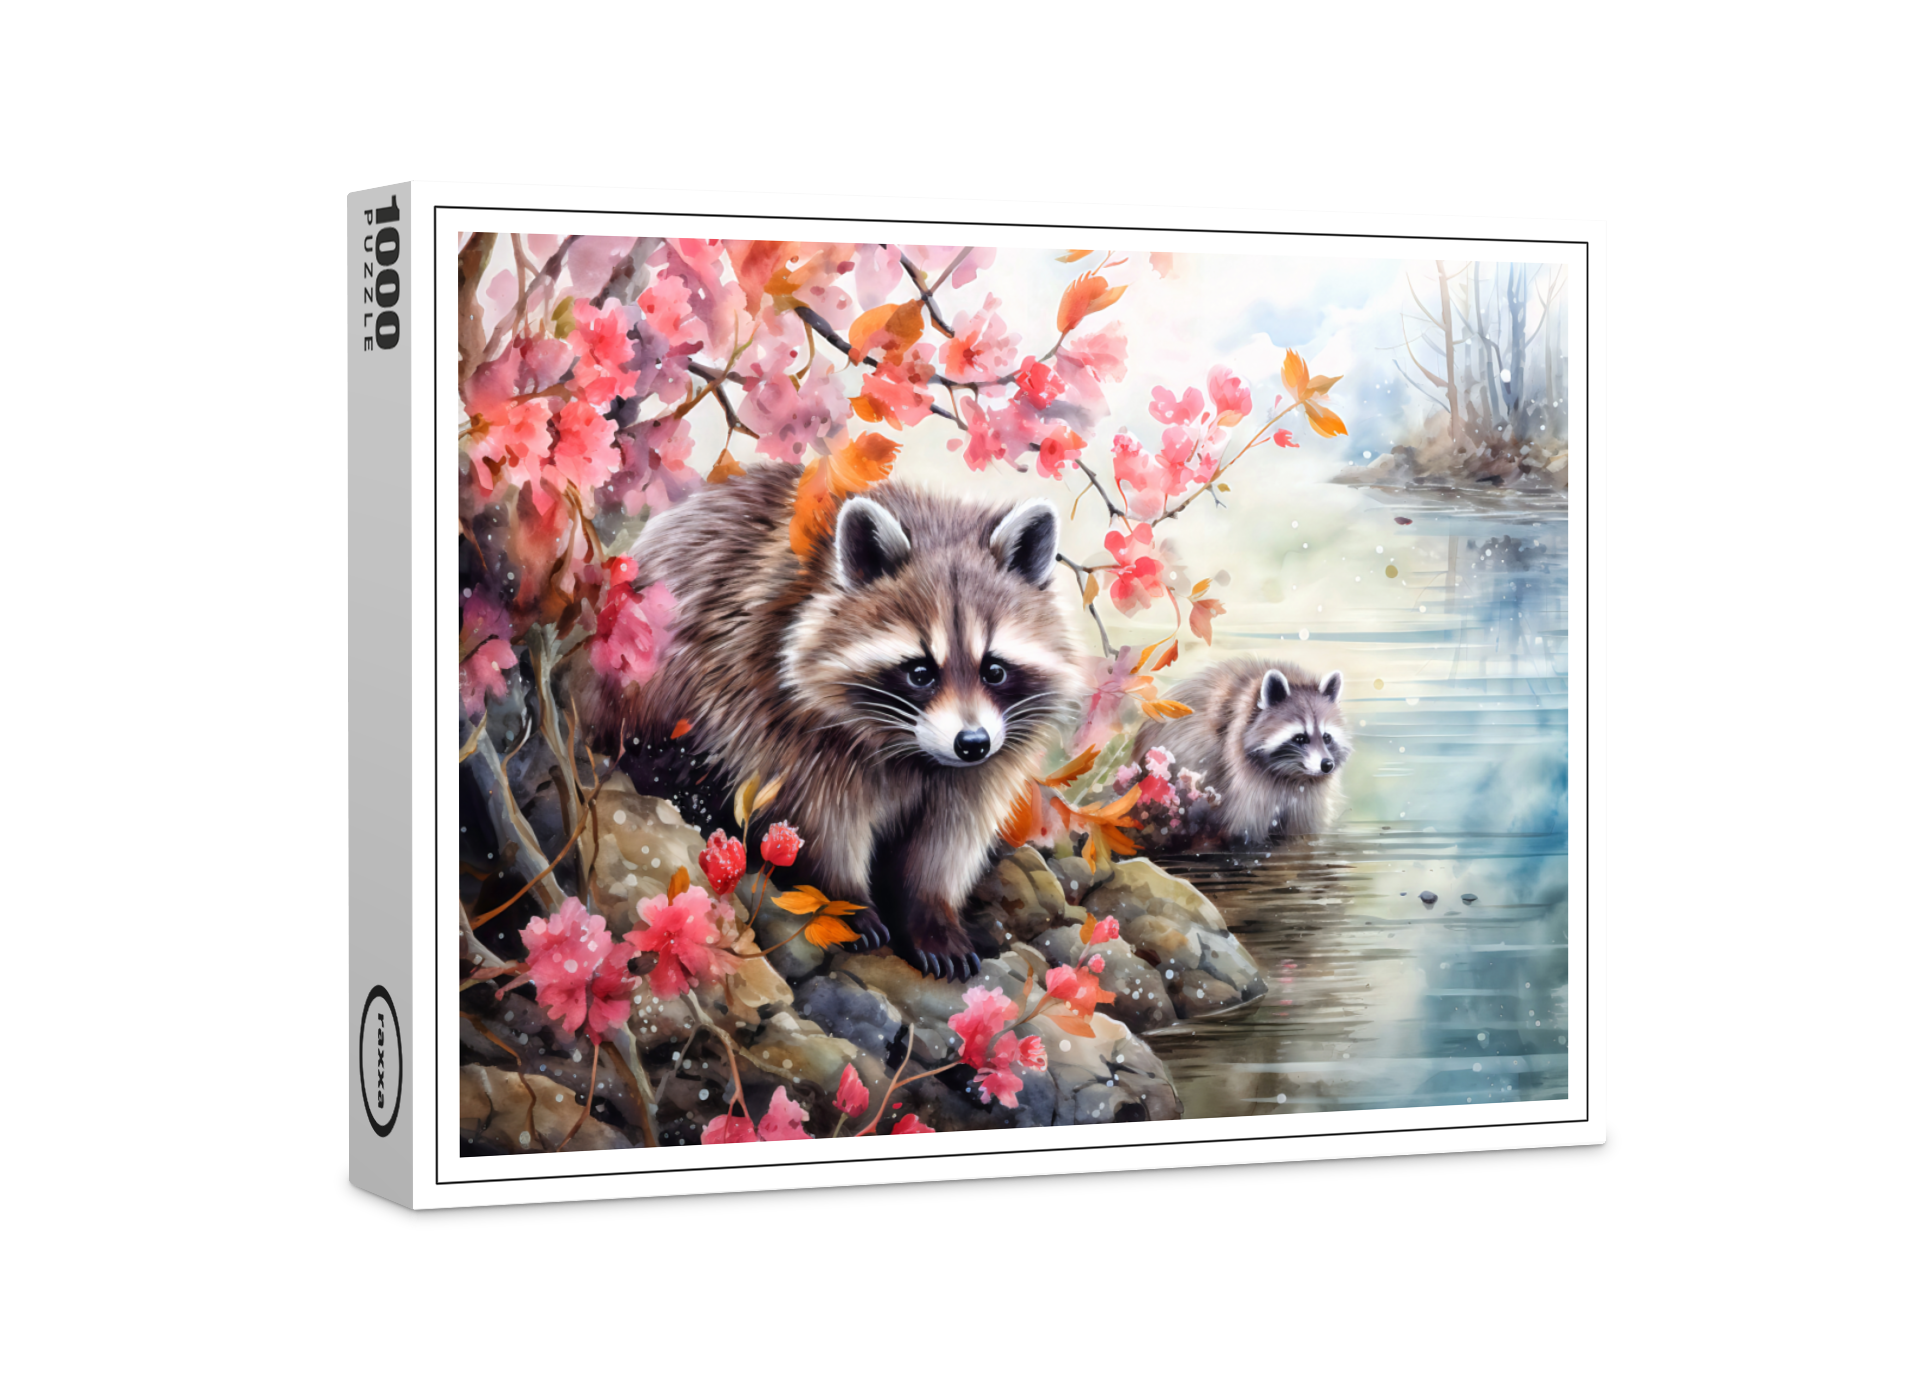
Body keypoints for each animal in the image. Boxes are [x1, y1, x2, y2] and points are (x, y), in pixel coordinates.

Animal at [577, 462, 1079, 981]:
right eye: (920, 672)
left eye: (994, 669)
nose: (972, 743)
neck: (914, 751)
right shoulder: (778, 709)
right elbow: (822, 821)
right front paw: (844, 900)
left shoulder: (981, 769)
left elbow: (947, 842)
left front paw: (931, 913)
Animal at [1134, 660, 1348, 844]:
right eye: (1300, 738)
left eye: (1327, 737)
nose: (1327, 764)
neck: (1292, 776)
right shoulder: (1242, 780)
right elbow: (1244, 827)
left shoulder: (1307, 799)